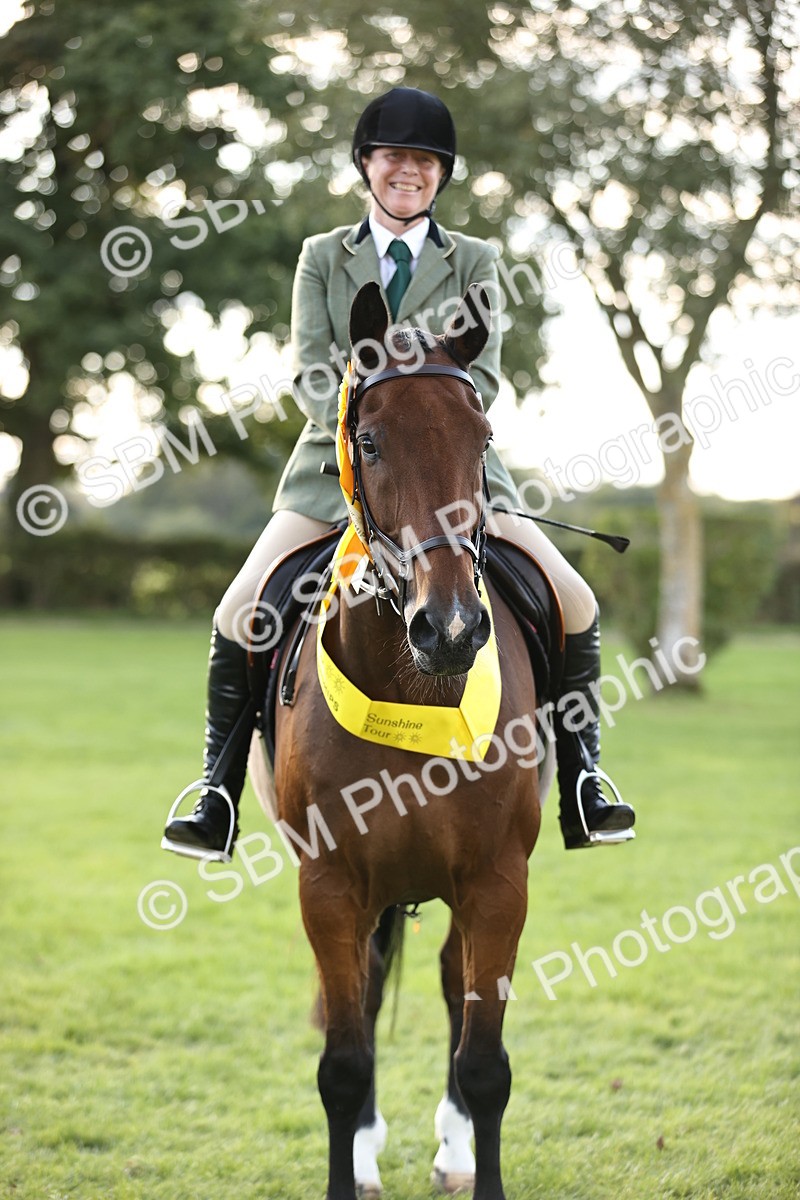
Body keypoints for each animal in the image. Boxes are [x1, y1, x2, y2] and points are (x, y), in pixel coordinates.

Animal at [272, 281, 543, 1200]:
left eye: (482, 436)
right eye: (368, 440)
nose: (451, 629)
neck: (412, 684)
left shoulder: (498, 882)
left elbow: (487, 1062)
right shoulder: (328, 886)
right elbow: (341, 1063)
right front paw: (347, 1162)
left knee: (452, 984)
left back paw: (454, 1149)